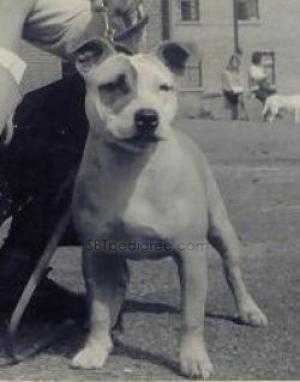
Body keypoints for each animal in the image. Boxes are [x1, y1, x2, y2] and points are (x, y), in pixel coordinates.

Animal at [64, 37, 266, 378]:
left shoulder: (191, 255)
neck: (133, 169)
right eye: (113, 85)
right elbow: (99, 311)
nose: (148, 116)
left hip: (220, 227)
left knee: (232, 271)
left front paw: (193, 359)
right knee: (117, 285)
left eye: (164, 87)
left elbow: (192, 316)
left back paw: (249, 310)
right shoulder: (96, 254)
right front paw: (95, 349)